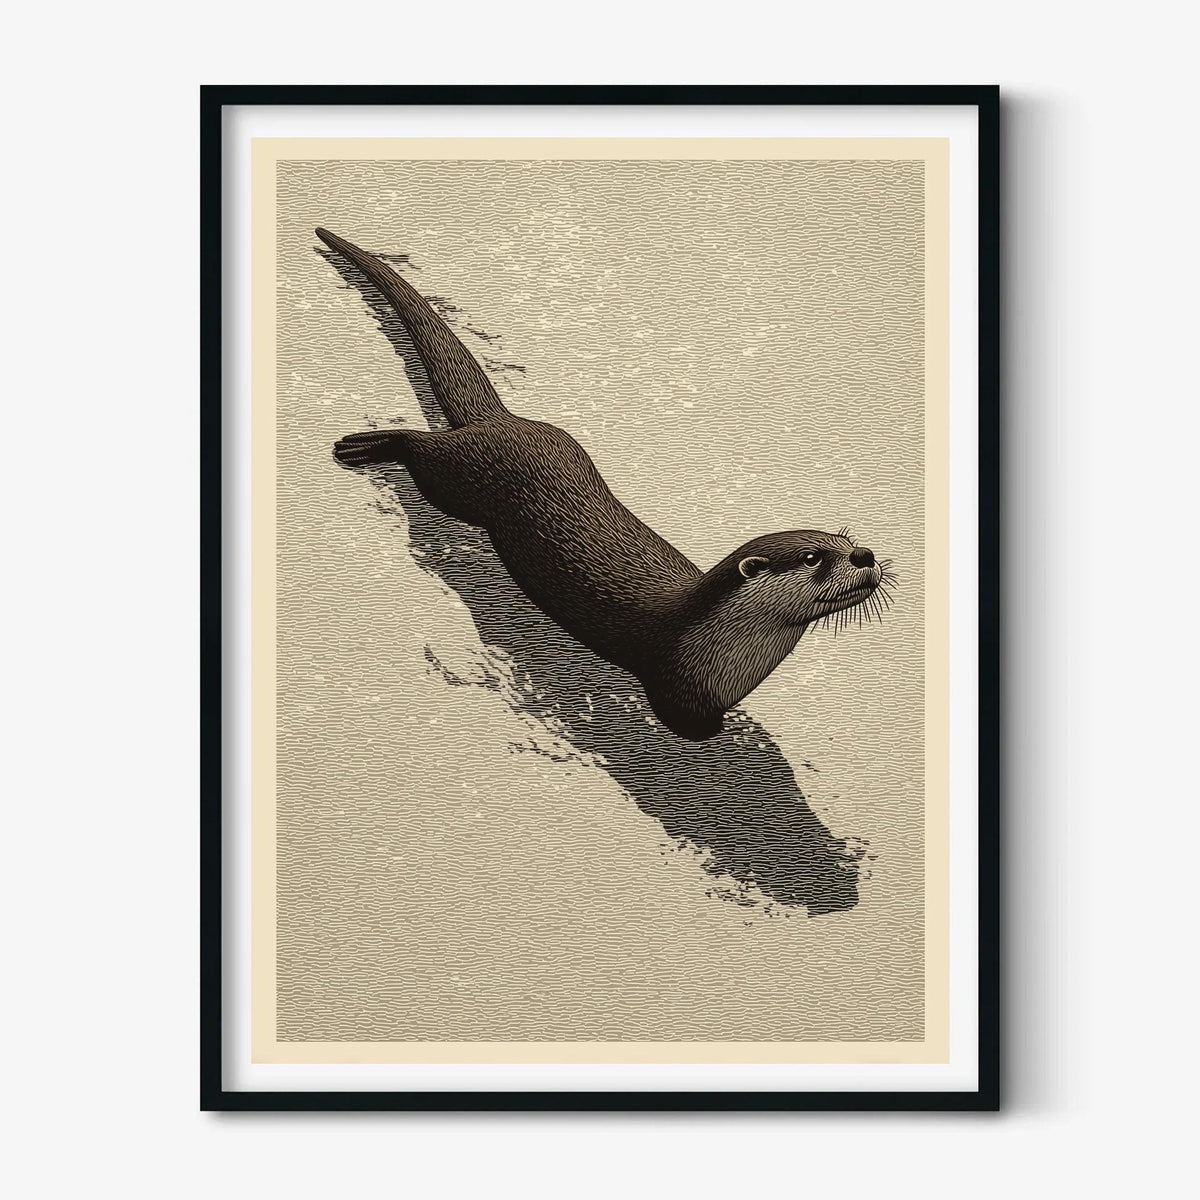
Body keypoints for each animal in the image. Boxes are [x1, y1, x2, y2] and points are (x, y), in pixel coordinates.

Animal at [317, 227, 893, 740]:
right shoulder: (673, 675)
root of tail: (502, 421)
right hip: (458, 479)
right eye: (815, 557)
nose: (865, 555)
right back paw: (363, 446)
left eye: (846, 539)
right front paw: (702, 736)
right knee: (422, 448)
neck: (732, 658)